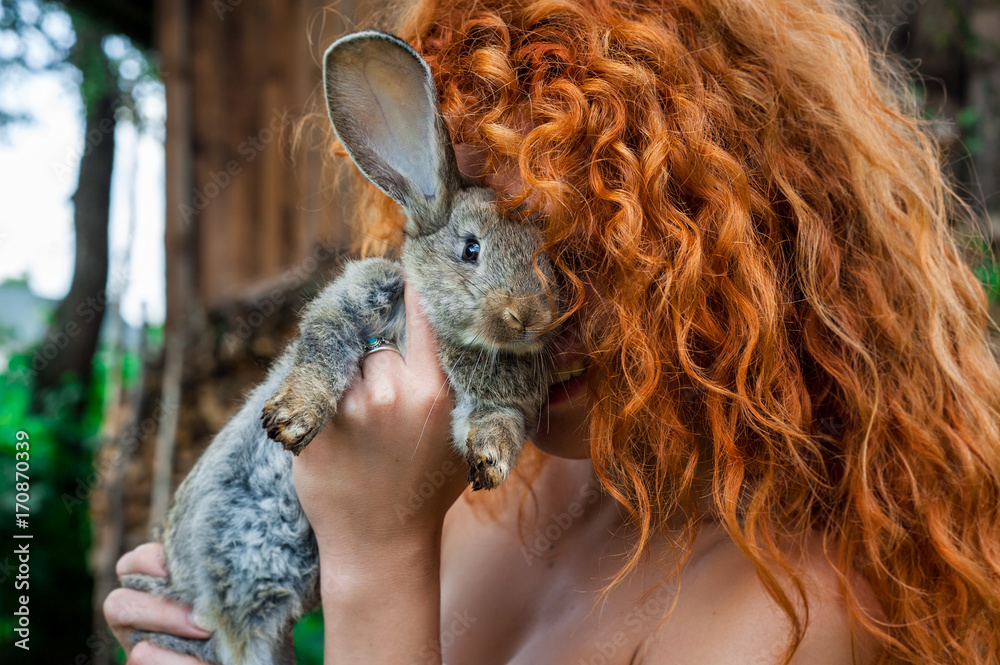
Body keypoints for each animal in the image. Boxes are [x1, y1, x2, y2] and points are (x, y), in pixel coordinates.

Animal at [120, 30, 561, 665]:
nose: (527, 316)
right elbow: (322, 350)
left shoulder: (500, 402)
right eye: (471, 249)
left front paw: (490, 464)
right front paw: (292, 420)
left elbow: (498, 422)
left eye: (551, 261)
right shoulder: (356, 301)